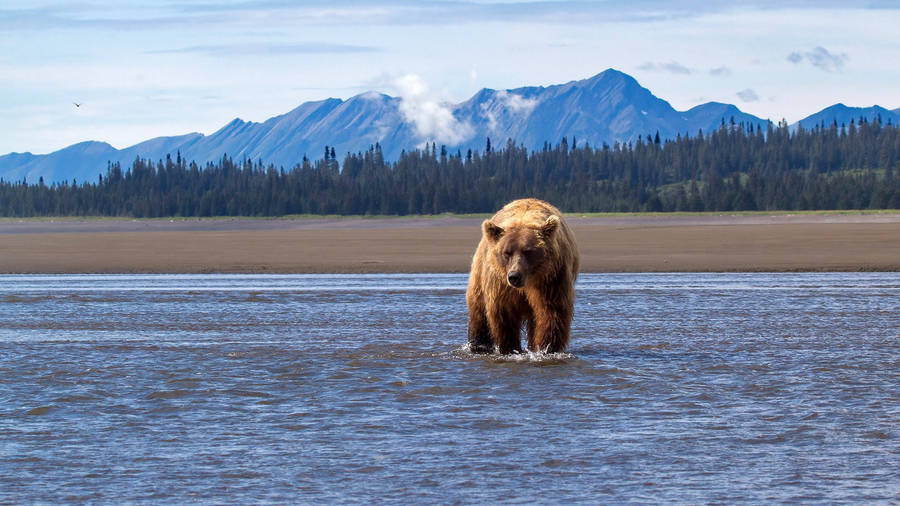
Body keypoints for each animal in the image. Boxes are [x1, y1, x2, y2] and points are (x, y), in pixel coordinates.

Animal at [468, 196, 580, 354]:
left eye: (528, 251)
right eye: (507, 252)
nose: (514, 276)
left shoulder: (551, 278)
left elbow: (551, 312)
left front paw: (547, 348)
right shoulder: (501, 284)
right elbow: (504, 313)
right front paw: (510, 348)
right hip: (480, 272)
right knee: (478, 310)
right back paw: (479, 345)